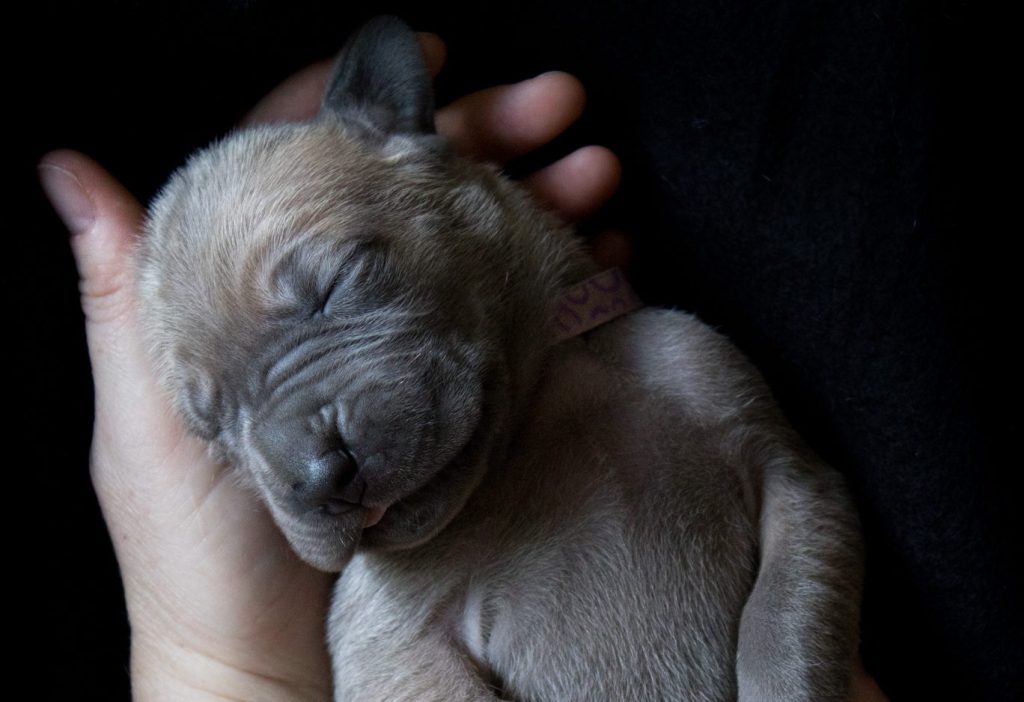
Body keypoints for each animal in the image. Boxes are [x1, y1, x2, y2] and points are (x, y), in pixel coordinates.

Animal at [134, 16, 864, 702]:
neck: (540, 399)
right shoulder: (390, 644)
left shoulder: (786, 473)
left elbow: (781, 625)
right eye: (211, 431)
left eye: (337, 284)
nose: (320, 480)